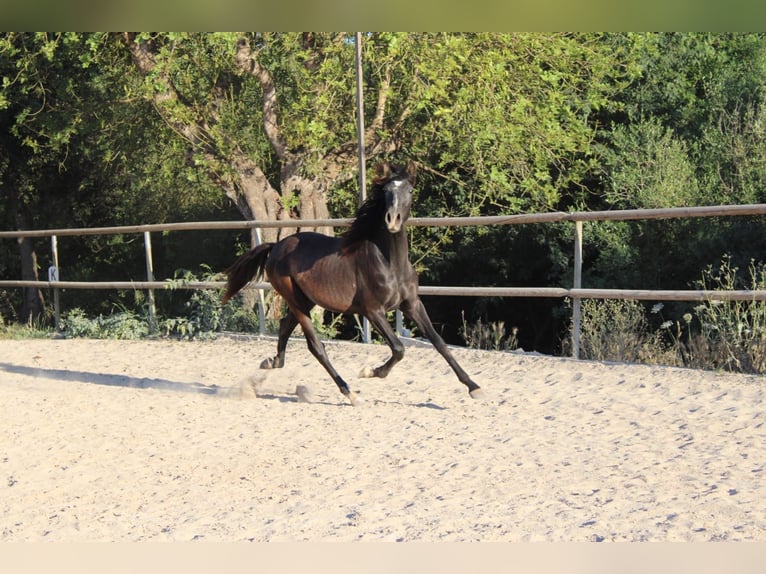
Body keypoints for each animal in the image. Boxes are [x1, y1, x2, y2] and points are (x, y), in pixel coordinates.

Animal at [223, 161, 483, 406]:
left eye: (409, 189)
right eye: (386, 191)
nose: (392, 220)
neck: (391, 264)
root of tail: (276, 246)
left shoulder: (412, 304)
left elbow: (439, 342)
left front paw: (474, 387)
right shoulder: (372, 311)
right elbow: (399, 348)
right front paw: (370, 372)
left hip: (304, 301)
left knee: (285, 327)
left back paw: (271, 362)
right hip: (295, 300)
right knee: (316, 346)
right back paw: (351, 394)